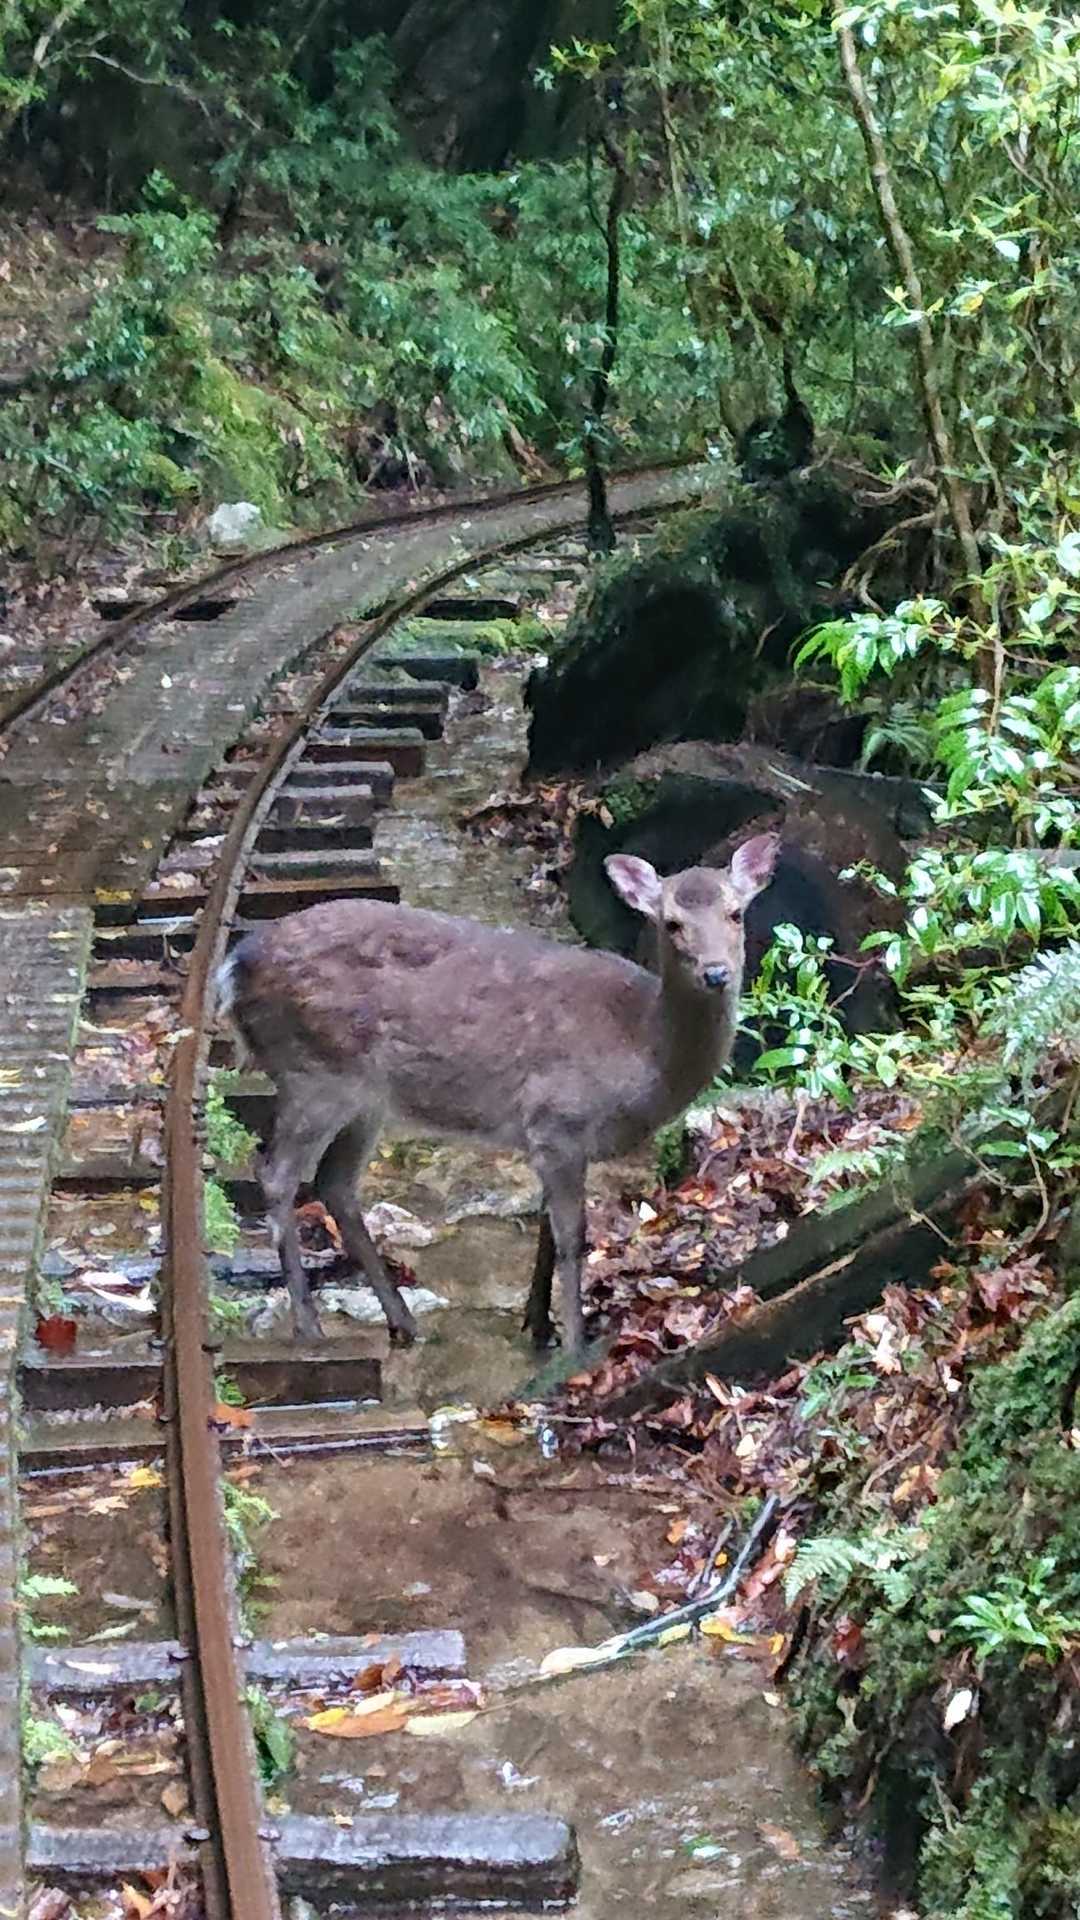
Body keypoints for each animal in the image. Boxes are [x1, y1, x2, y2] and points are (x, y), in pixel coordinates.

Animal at [216, 831, 778, 1354]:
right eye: (672, 923)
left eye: (735, 913)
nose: (715, 972)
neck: (642, 1052)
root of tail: (234, 969)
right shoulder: (558, 1118)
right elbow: (573, 1237)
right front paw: (575, 1344)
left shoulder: (556, 1137)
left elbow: (547, 1231)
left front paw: (539, 1326)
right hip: (314, 1072)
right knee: (278, 1174)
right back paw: (309, 1326)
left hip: (367, 1098)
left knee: (334, 1183)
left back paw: (404, 1323)